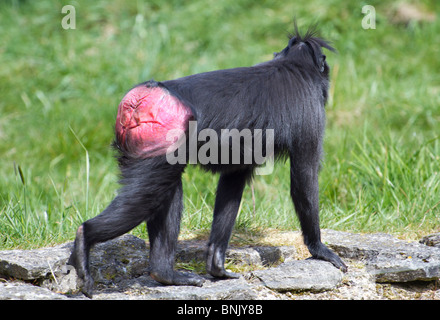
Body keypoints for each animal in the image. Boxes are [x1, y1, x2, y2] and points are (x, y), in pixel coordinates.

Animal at [68, 25, 348, 298]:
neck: (294, 66)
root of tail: (141, 98)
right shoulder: (311, 114)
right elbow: (304, 178)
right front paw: (319, 249)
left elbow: (232, 182)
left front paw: (217, 267)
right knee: (147, 197)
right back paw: (85, 239)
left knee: (165, 190)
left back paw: (164, 274)